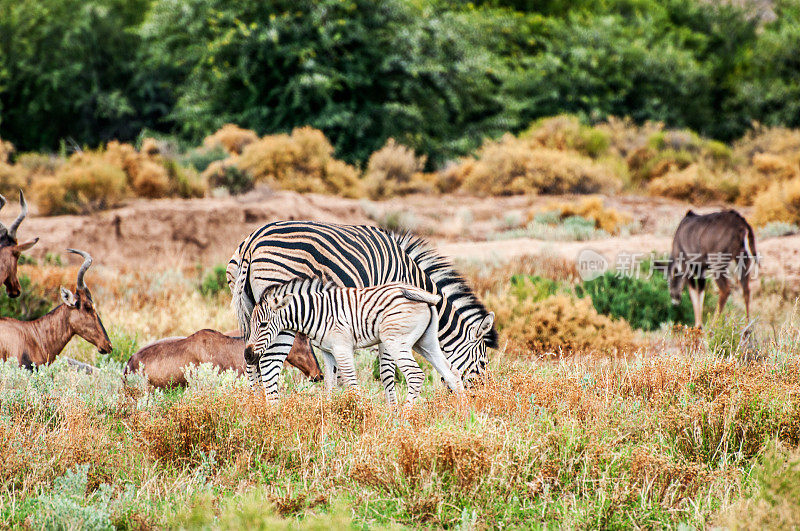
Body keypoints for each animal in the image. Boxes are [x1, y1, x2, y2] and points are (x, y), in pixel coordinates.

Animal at [228, 218, 496, 396]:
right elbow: (387, 372)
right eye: (483, 363)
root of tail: (251, 242)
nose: (485, 397)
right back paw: (274, 414)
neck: (412, 277)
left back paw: (259, 412)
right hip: (279, 316)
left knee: (251, 362)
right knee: (268, 364)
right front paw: (391, 412)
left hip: (251, 313)